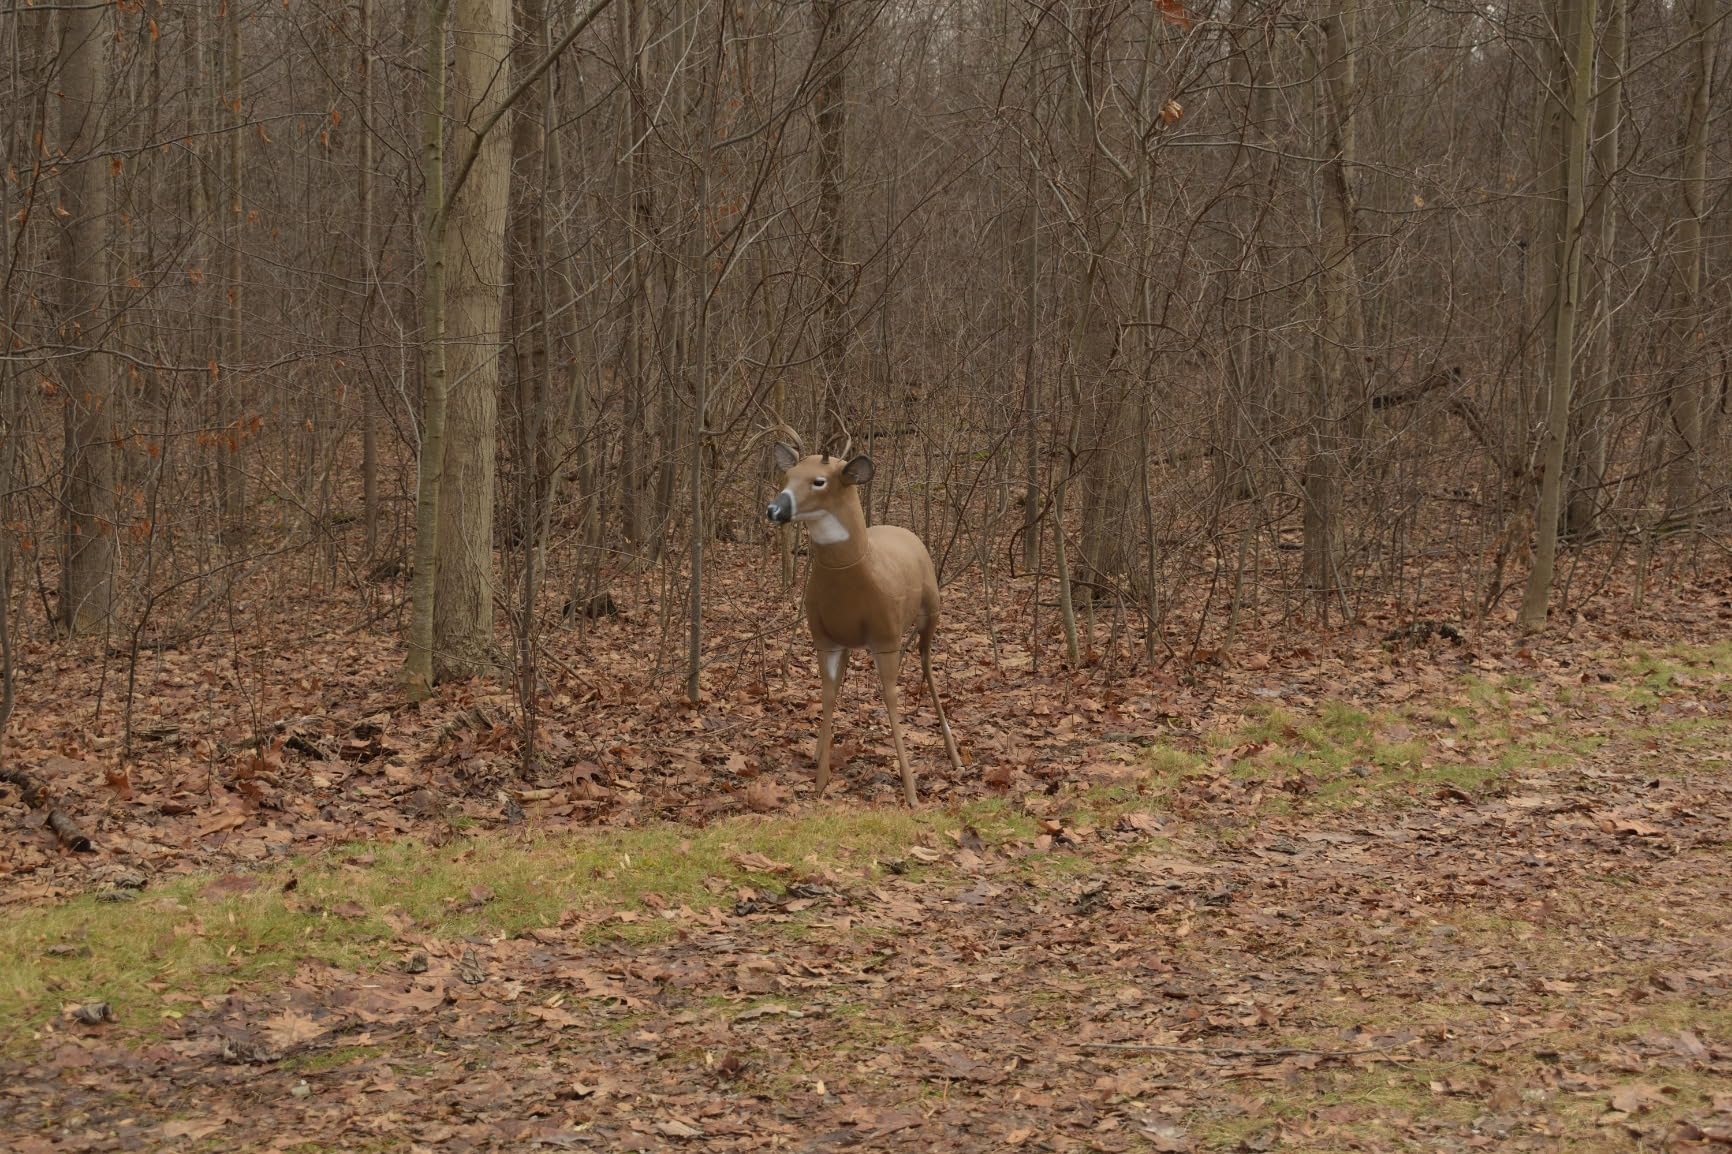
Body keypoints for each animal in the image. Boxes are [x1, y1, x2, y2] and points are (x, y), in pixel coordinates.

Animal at [767, 444, 963, 805]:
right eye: (788, 476)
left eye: (819, 481)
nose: (774, 509)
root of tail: (904, 530)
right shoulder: (823, 637)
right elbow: (829, 694)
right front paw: (820, 782)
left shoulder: (885, 636)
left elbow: (890, 697)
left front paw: (911, 792)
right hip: (849, 640)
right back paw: (819, 751)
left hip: (931, 610)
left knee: (926, 663)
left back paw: (955, 756)